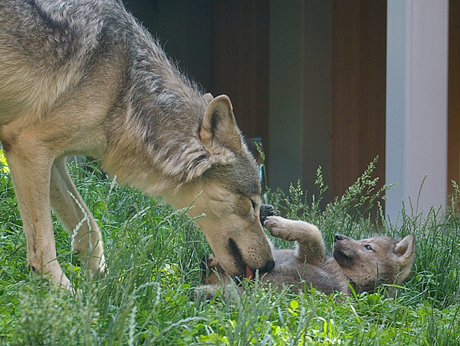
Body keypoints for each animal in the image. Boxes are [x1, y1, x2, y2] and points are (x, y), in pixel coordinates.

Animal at [0, 0, 274, 290]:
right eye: (252, 203)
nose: (271, 264)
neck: (125, 87)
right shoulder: (29, 146)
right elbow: (43, 249)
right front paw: (69, 296)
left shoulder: (53, 159)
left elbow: (89, 228)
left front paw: (101, 285)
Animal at [199, 207, 416, 296]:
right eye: (364, 240)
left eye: (368, 246)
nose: (337, 236)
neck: (348, 277)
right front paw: (267, 216)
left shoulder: (313, 255)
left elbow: (311, 230)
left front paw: (277, 224)